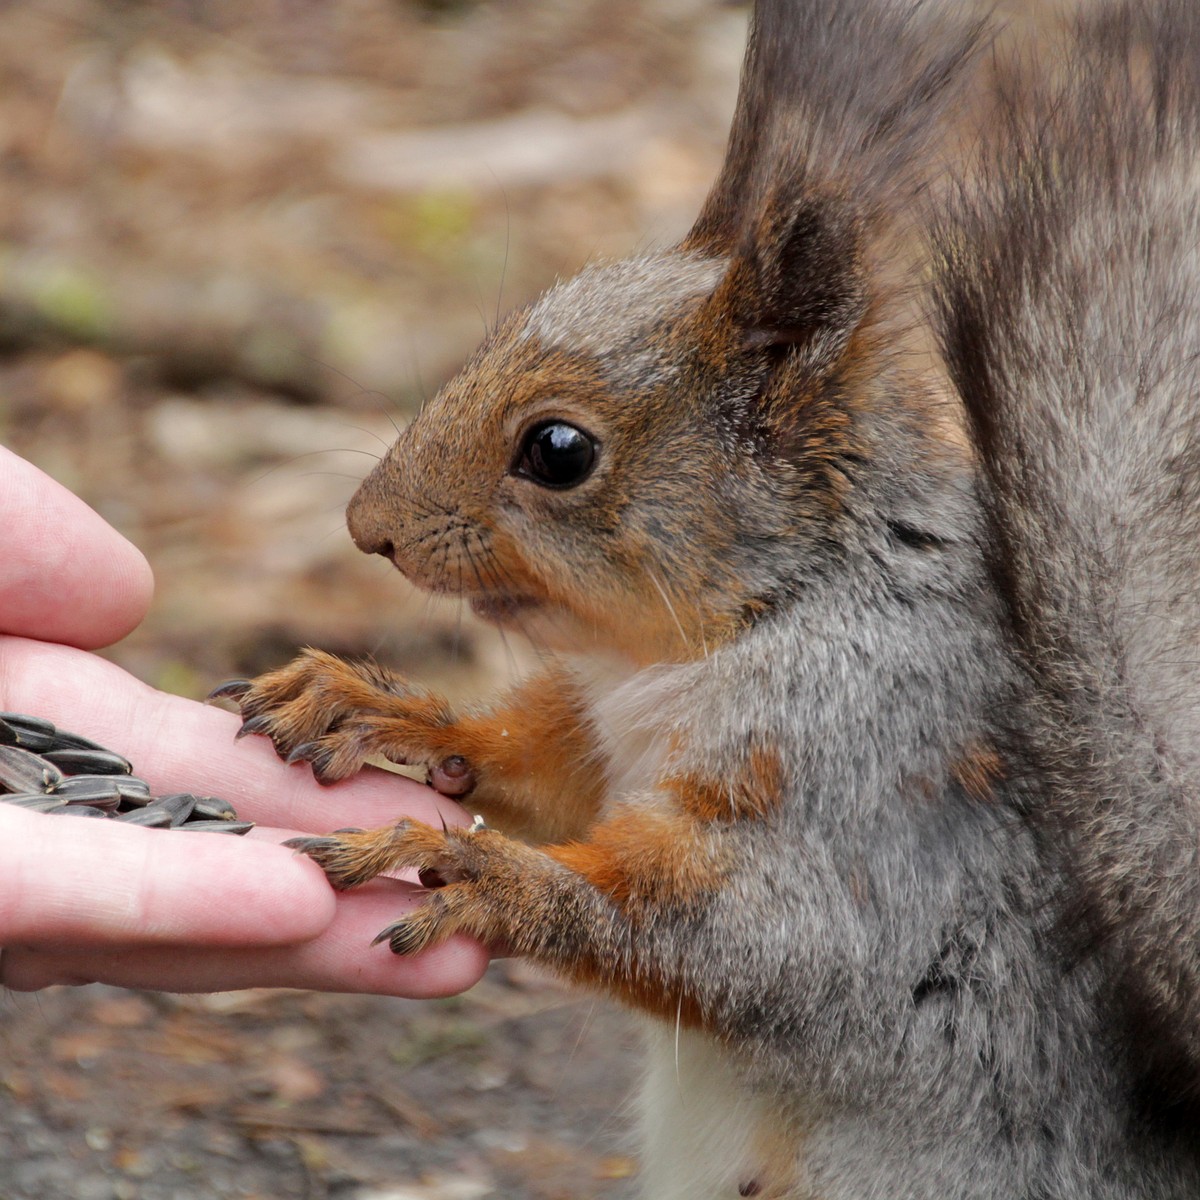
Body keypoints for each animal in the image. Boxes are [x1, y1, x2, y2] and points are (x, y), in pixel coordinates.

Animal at [211, 0, 1200, 1195]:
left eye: (557, 451)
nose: (370, 528)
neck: (689, 653)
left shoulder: (870, 780)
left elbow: (765, 944)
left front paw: (484, 874)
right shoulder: (600, 737)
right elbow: (538, 770)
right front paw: (374, 707)